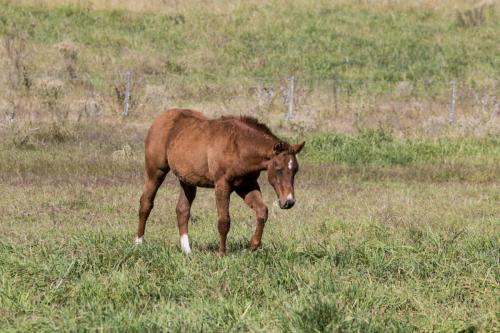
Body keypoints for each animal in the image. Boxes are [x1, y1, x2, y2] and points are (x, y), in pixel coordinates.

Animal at [135, 107, 304, 253]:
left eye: (295, 170)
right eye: (279, 169)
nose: (288, 202)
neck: (239, 146)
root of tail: (161, 117)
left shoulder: (246, 185)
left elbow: (262, 211)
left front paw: (252, 246)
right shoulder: (222, 184)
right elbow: (224, 220)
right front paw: (221, 253)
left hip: (187, 180)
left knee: (182, 209)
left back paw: (187, 251)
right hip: (156, 172)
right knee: (146, 202)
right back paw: (138, 242)